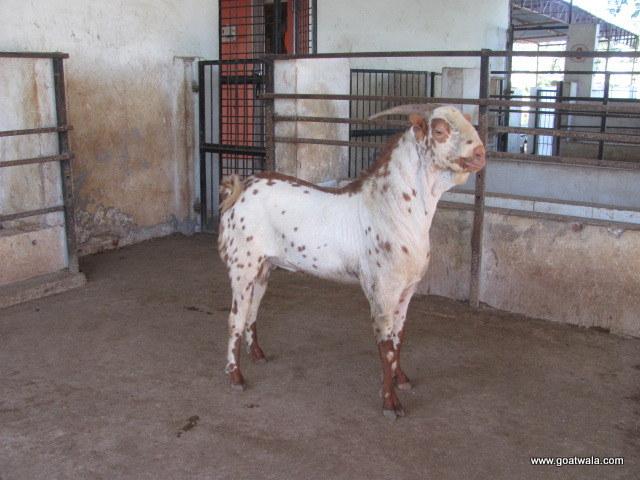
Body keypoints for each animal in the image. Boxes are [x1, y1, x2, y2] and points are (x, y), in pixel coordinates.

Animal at [217, 104, 486, 418]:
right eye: (440, 130)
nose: (480, 153)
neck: (393, 208)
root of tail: (238, 188)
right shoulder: (382, 290)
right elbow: (386, 346)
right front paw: (390, 403)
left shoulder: (407, 290)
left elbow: (399, 337)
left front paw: (401, 379)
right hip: (242, 266)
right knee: (235, 317)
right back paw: (235, 376)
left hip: (263, 267)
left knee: (252, 310)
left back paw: (258, 355)